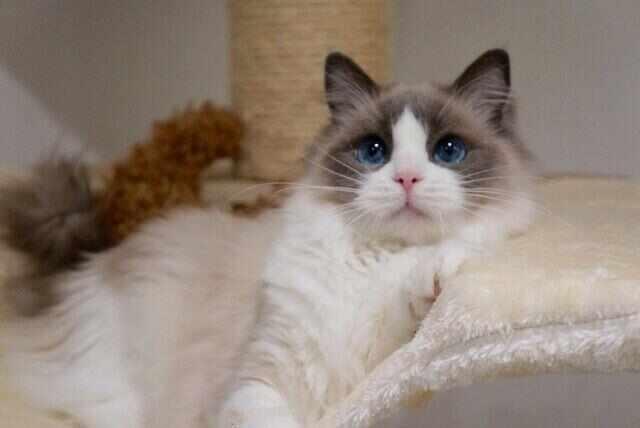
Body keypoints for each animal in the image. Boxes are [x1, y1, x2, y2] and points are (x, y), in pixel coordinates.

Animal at [0, 49, 534, 428]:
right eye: (374, 150)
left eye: (448, 150)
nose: (406, 178)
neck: (372, 262)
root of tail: (87, 263)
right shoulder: (257, 378)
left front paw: (438, 271)